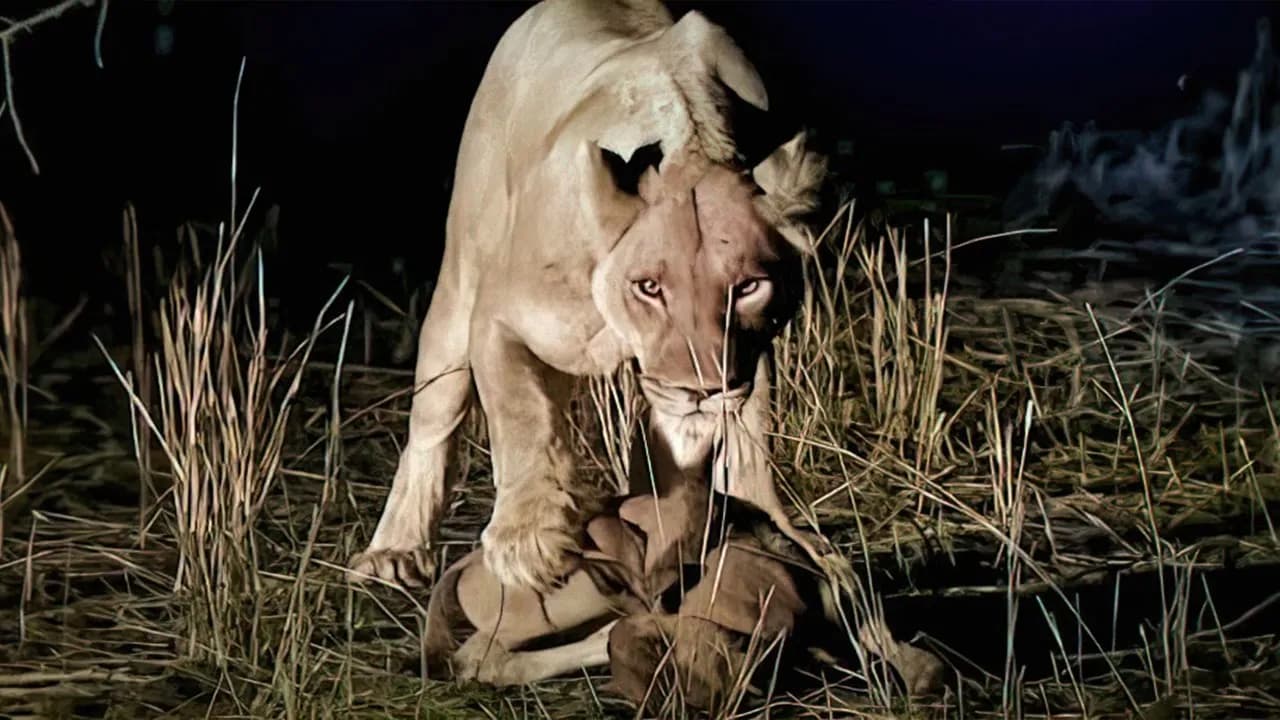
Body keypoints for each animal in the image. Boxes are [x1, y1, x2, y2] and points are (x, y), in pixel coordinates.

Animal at [348, 0, 828, 592]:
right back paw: (393, 552)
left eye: (749, 287)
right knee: (434, 416)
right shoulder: (500, 318)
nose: (697, 391)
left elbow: (738, 448)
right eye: (649, 286)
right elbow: (523, 414)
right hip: (460, 275)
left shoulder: (748, 357)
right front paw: (528, 542)